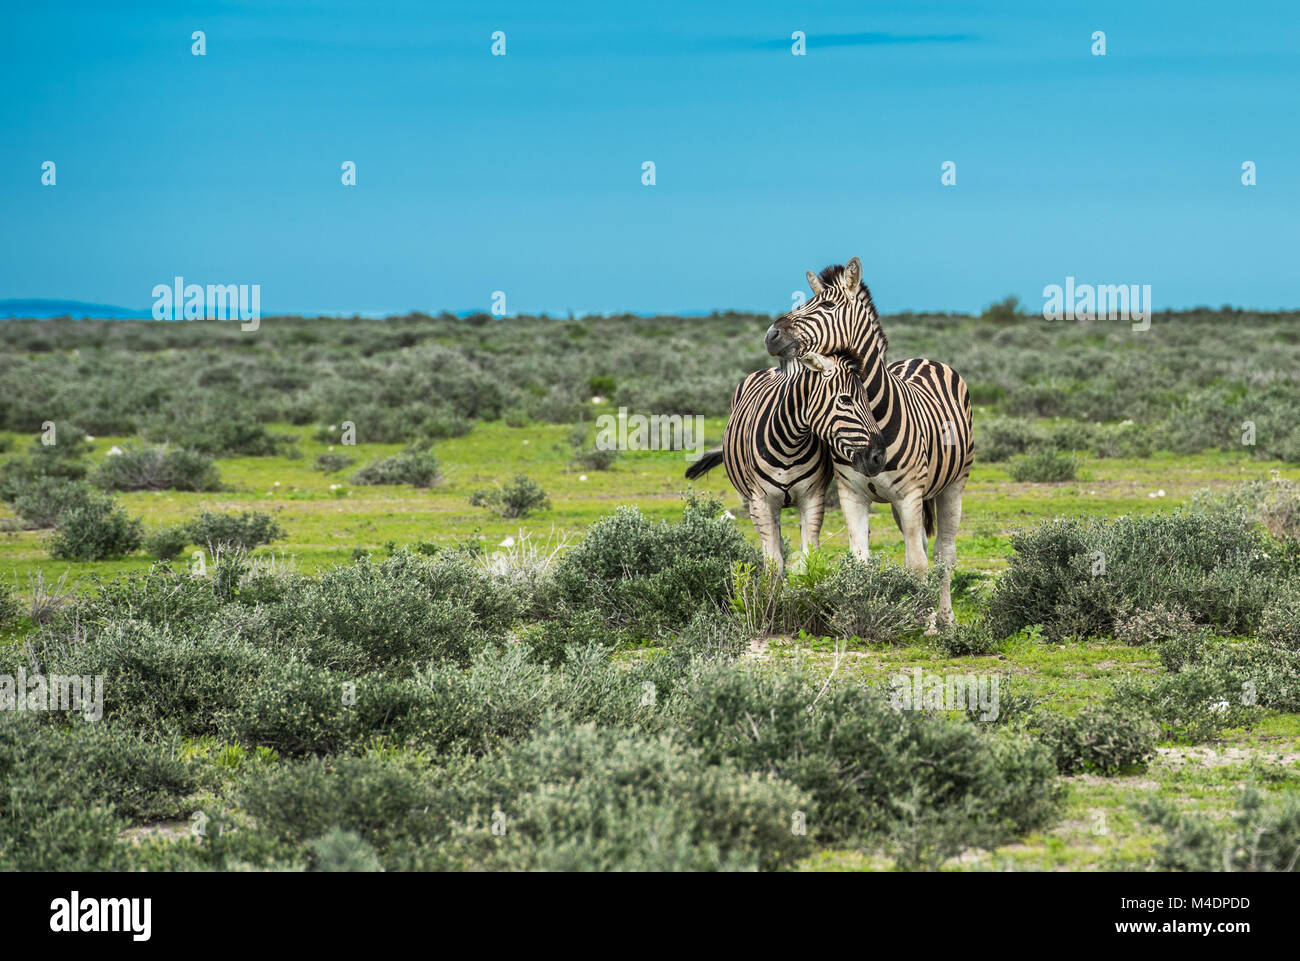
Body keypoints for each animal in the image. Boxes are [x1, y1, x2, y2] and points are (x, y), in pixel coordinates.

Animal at [686, 356, 889, 574]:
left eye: (867, 398)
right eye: (845, 400)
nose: (879, 457)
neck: (789, 445)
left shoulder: (812, 498)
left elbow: (810, 557)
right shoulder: (761, 503)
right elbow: (774, 563)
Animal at [764, 257, 972, 631]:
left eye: (827, 306)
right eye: (804, 301)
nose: (771, 335)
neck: (875, 410)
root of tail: (925, 359)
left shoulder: (909, 495)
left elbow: (918, 565)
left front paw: (926, 625)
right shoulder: (852, 495)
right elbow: (861, 560)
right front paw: (858, 614)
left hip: (953, 485)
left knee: (943, 553)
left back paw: (945, 619)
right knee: (921, 543)